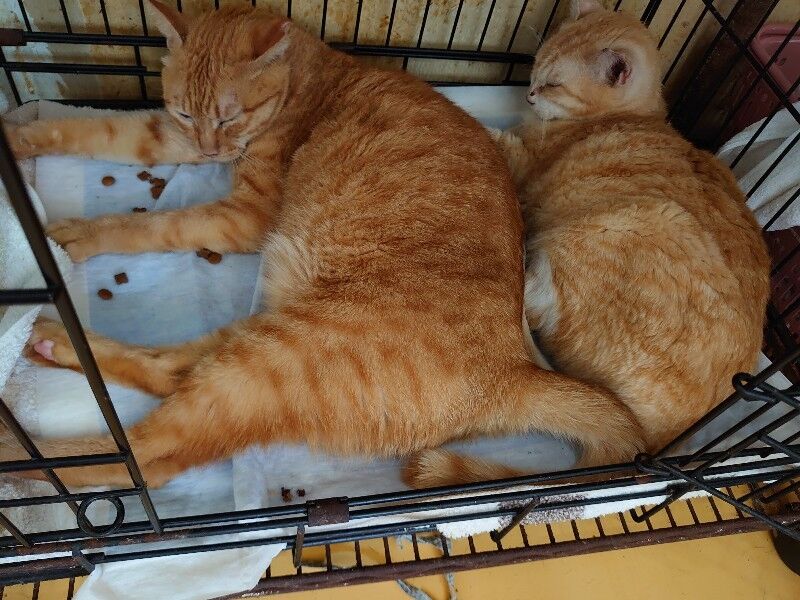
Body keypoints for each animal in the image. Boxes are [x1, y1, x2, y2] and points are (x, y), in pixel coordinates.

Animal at [2, 2, 644, 488]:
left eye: (229, 117)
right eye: (185, 111)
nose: (210, 149)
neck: (308, 73)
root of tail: (515, 367)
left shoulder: (246, 216)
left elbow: (157, 226)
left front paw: (81, 234)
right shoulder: (169, 136)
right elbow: (91, 129)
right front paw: (17, 134)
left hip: (280, 354)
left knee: (145, 456)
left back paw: (22, 450)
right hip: (267, 328)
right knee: (170, 374)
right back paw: (51, 340)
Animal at [402, 0, 770, 488]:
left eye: (555, 83)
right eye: (536, 67)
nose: (530, 95)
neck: (635, 115)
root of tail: (651, 453)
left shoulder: (522, 161)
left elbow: (489, 134)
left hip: (616, 227)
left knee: (535, 309)